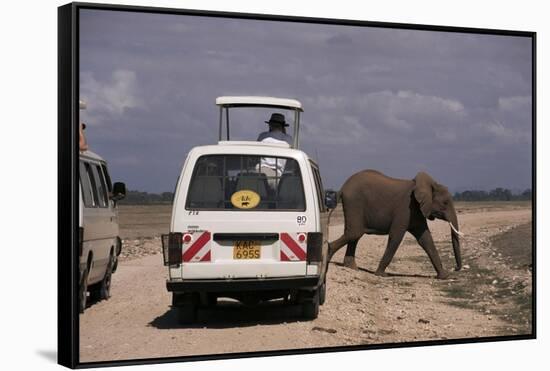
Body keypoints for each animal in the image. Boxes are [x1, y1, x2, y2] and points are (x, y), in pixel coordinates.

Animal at [328, 170, 466, 280]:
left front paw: (444, 276)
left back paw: (351, 268)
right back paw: (329, 254)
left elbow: (425, 239)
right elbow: (396, 237)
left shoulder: (417, 211)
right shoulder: (405, 209)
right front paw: (381, 275)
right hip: (354, 203)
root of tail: (343, 187)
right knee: (355, 233)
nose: (455, 268)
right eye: (445, 203)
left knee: (354, 234)